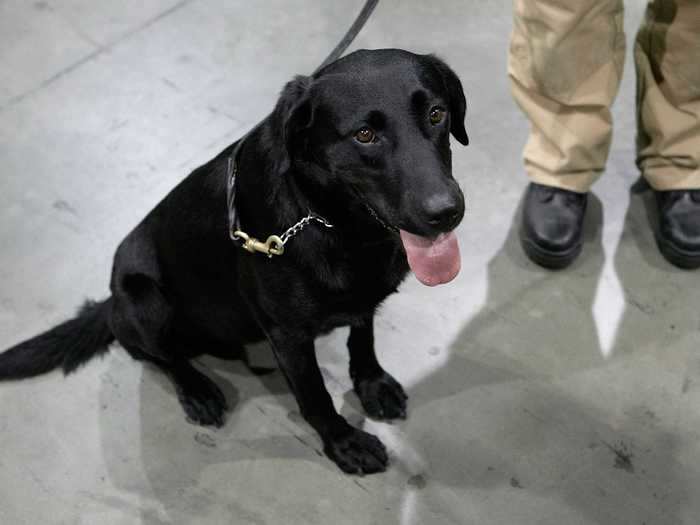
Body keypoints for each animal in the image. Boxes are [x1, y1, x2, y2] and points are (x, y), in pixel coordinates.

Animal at [2, 50, 470, 474]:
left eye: (436, 113)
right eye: (365, 134)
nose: (446, 212)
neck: (326, 219)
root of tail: (109, 302)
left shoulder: (362, 299)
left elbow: (363, 338)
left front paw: (372, 383)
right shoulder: (288, 336)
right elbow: (315, 396)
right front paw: (344, 443)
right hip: (143, 298)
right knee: (162, 357)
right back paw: (198, 391)